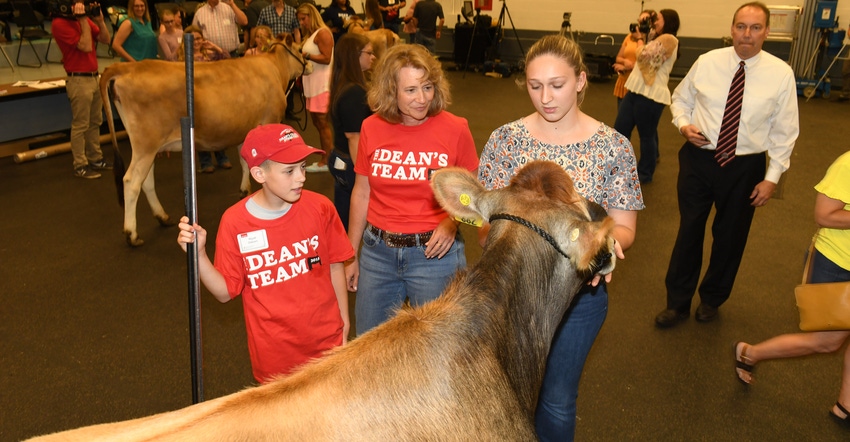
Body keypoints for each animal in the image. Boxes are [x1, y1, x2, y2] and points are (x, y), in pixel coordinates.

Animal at [101, 34, 310, 247]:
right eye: (301, 50)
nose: (309, 64)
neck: (274, 66)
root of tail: (130, 67)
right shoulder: (269, 120)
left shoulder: (245, 131)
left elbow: (245, 162)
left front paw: (244, 189)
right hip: (146, 145)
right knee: (131, 181)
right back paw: (132, 234)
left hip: (148, 147)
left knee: (146, 180)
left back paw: (162, 217)